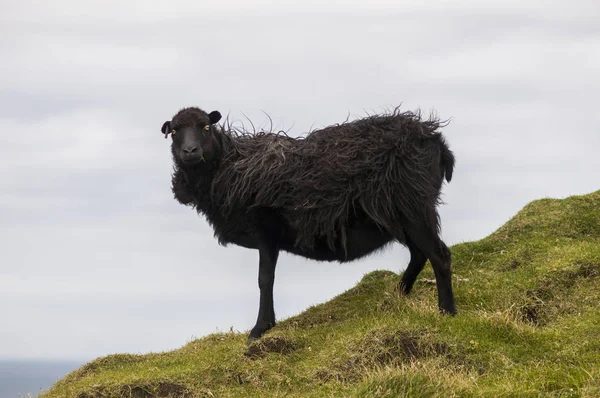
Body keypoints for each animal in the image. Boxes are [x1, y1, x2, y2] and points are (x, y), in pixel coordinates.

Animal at [159, 106, 454, 342]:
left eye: (206, 127)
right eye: (174, 131)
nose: (190, 151)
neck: (229, 166)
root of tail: (436, 140)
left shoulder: (266, 231)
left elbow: (264, 279)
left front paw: (259, 330)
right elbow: (268, 279)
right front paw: (267, 325)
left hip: (414, 206)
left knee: (439, 255)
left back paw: (447, 312)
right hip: (402, 216)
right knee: (420, 254)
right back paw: (397, 295)